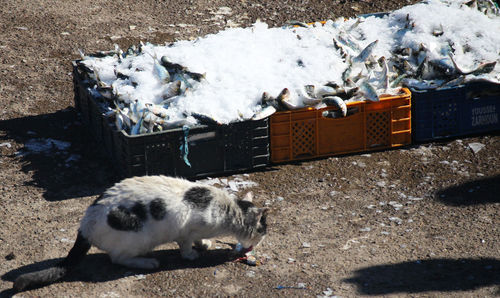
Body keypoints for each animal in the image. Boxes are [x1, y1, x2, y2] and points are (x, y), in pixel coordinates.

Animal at [13, 175, 268, 292]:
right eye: (262, 232)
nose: (256, 244)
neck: (227, 210)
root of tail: (85, 223)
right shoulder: (184, 229)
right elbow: (185, 244)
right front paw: (191, 254)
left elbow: (199, 238)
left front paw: (204, 243)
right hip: (139, 238)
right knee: (117, 259)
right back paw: (148, 262)